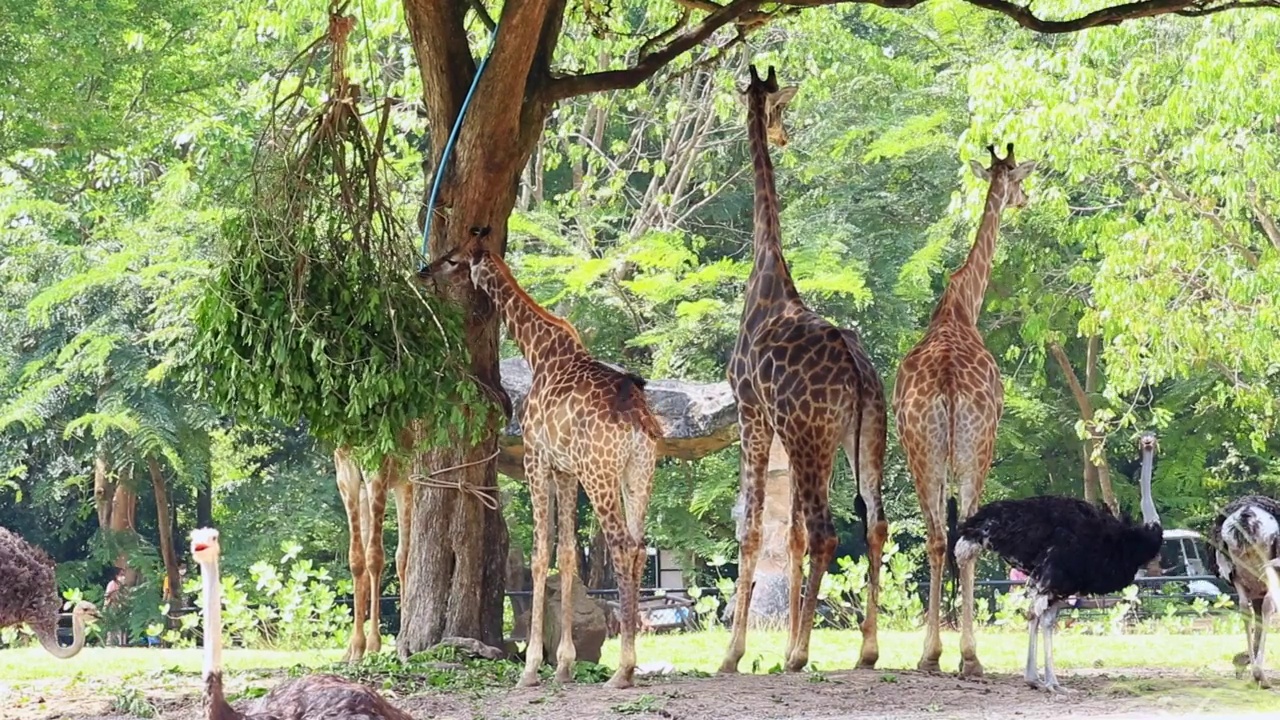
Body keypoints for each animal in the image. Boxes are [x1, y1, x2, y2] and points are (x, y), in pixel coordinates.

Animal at [332, 427, 412, 661]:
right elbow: (356, 559)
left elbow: (375, 557)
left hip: (409, 478)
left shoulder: (379, 462)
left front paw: (373, 645)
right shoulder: (345, 469)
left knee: (404, 556)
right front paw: (355, 648)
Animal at [424, 230, 660, 691]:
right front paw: (565, 666)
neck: (538, 349)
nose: (424, 272)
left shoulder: (537, 456)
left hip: (601, 473)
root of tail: (638, 421)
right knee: (640, 547)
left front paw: (531, 668)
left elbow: (538, 556)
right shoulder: (566, 469)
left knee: (622, 546)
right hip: (638, 473)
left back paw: (622, 672)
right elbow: (566, 555)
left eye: (453, 259)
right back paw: (628, 664)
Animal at [721, 65, 890, 671]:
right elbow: (786, 534)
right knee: (873, 523)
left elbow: (751, 529)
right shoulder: (785, 434)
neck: (768, 274)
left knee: (826, 532)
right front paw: (779, 643)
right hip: (860, 436)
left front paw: (735, 654)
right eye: (779, 108)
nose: (785, 134)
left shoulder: (751, 413)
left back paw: (798, 657)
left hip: (811, 435)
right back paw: (865, 651)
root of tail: (858, 372)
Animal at [896, 142, 1034, 676]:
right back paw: (969, 657)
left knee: (937, 539)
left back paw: (929, 655)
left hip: (924, 454)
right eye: (1018, 178)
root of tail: (949, 387)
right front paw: (962, 652)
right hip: (976, 450)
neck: (961, 306)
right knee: (964, 541)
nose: (1024, 200)